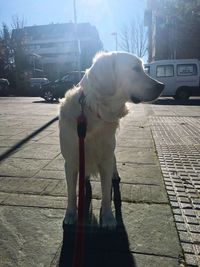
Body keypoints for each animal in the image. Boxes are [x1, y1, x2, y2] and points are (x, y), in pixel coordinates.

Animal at [58, 51, 164, 228]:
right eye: (135, 68)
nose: (162, 86)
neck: (94, 111)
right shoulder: (71, 162)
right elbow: (71, 193)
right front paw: (70, 215)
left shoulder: (106, 158)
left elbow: (107, 193)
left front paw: (108, 218)